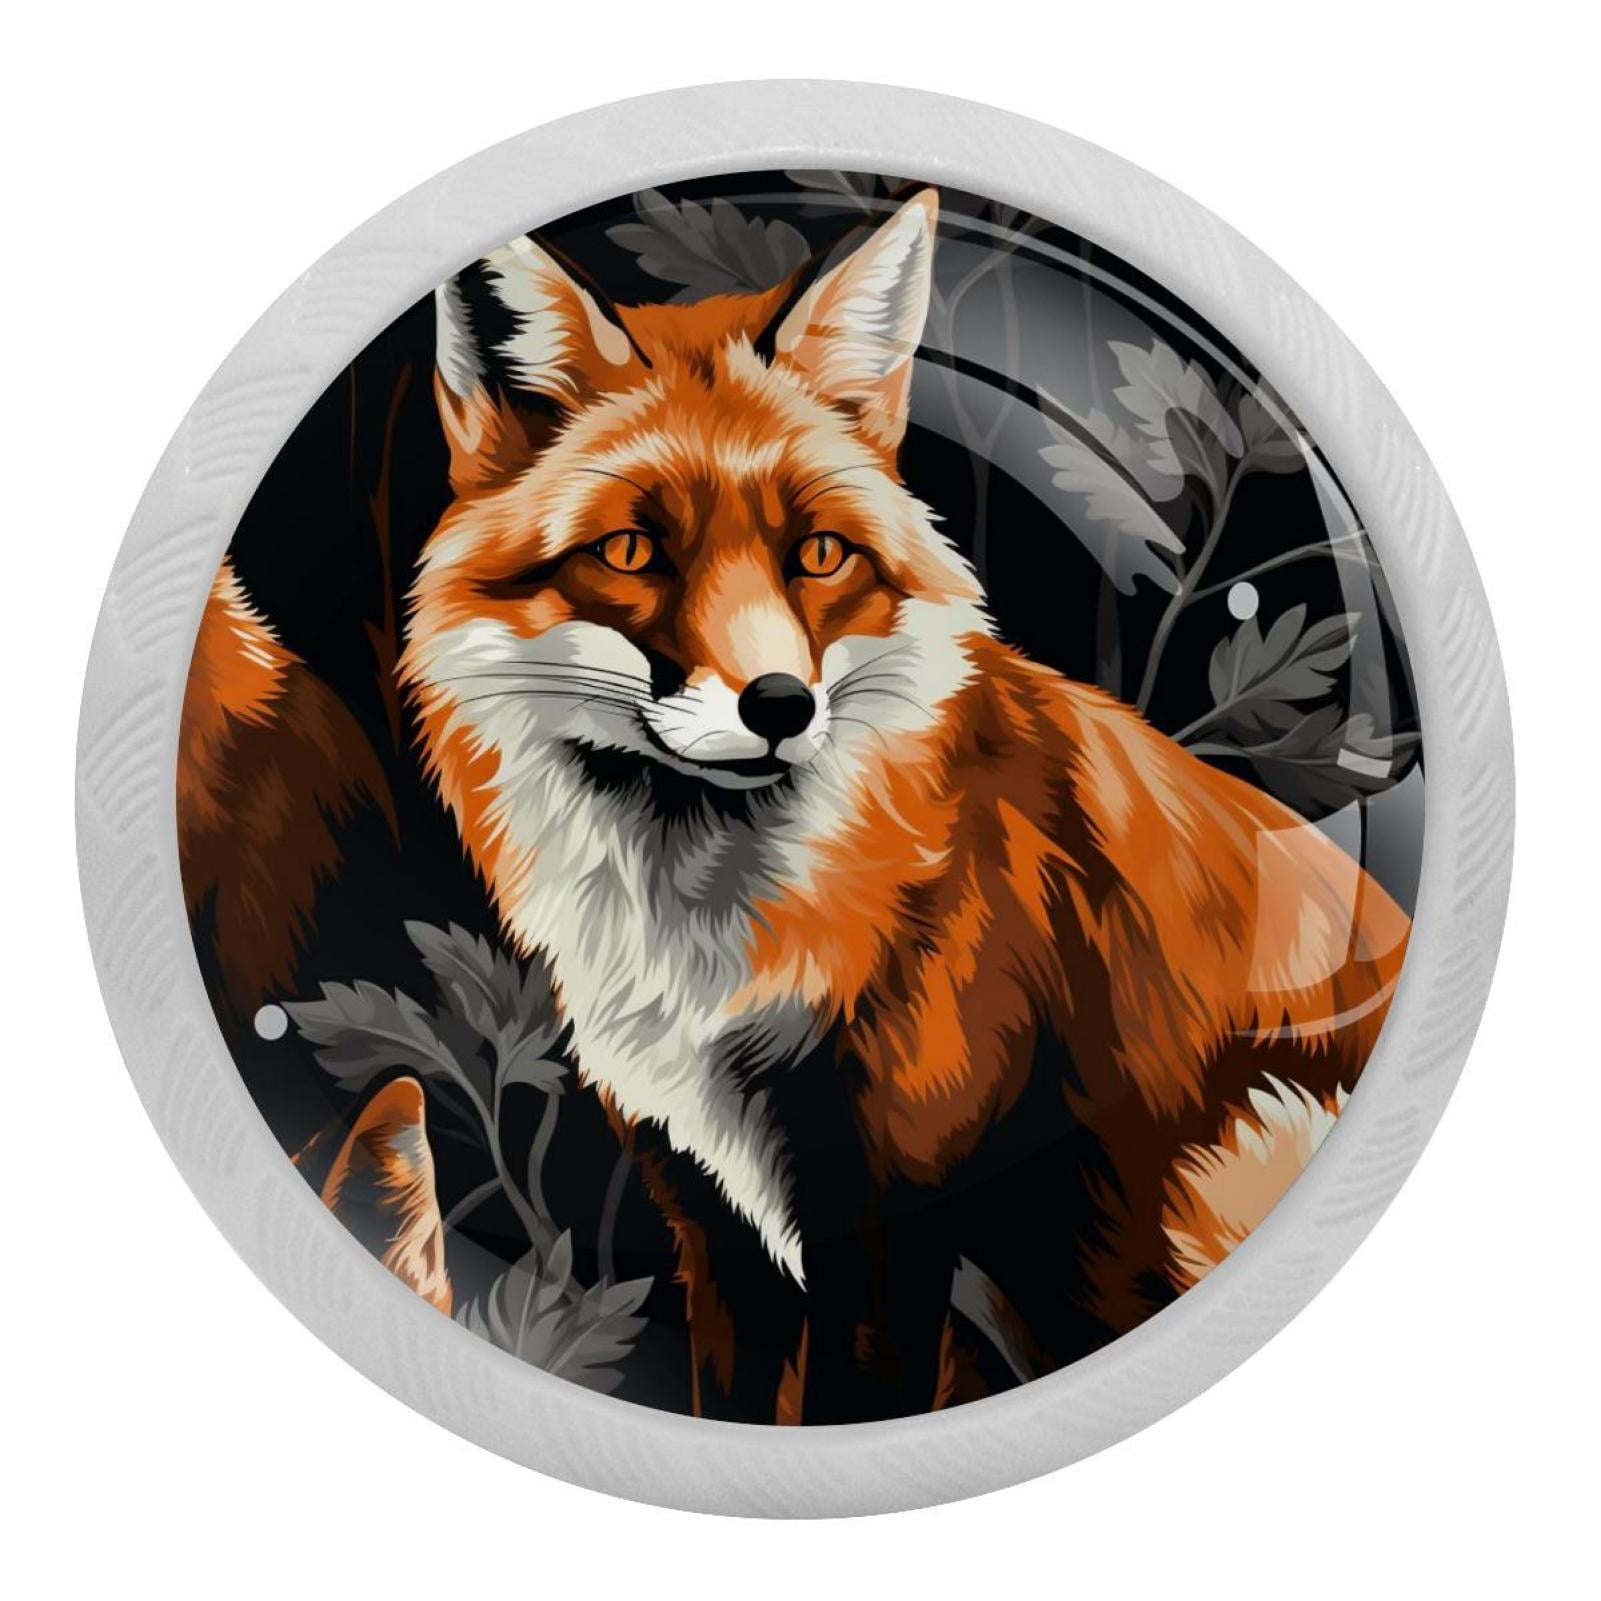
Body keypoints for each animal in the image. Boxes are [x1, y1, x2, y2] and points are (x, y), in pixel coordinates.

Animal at [389, 187, 1411, 1423]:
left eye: (819, 553)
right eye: (632, 551)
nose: (780, 704)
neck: (720, 945)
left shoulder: (891, 1230)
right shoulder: (713, 1217)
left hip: (1228, 1155)